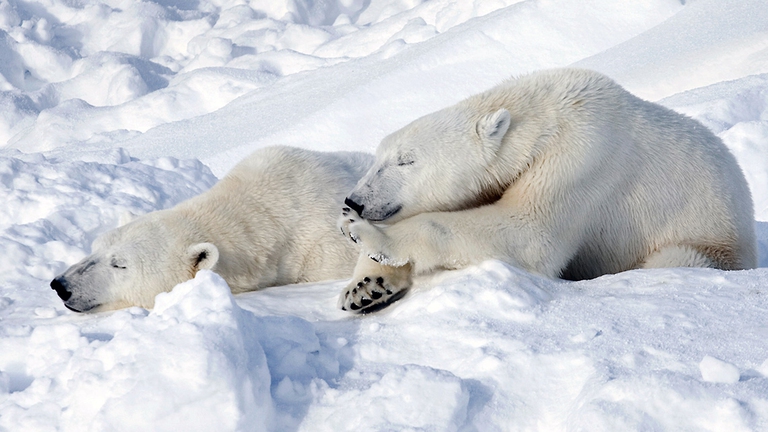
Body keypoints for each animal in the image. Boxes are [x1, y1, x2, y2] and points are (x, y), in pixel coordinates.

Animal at [336, 68, 757, 312]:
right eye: (377, 159)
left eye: (406, 160)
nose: (353, 201)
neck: (545, 114)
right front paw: (365, 287)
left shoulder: (581, 159)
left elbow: (529, 232)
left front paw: (369, 235)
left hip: (709, 245)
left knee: (673, 259)